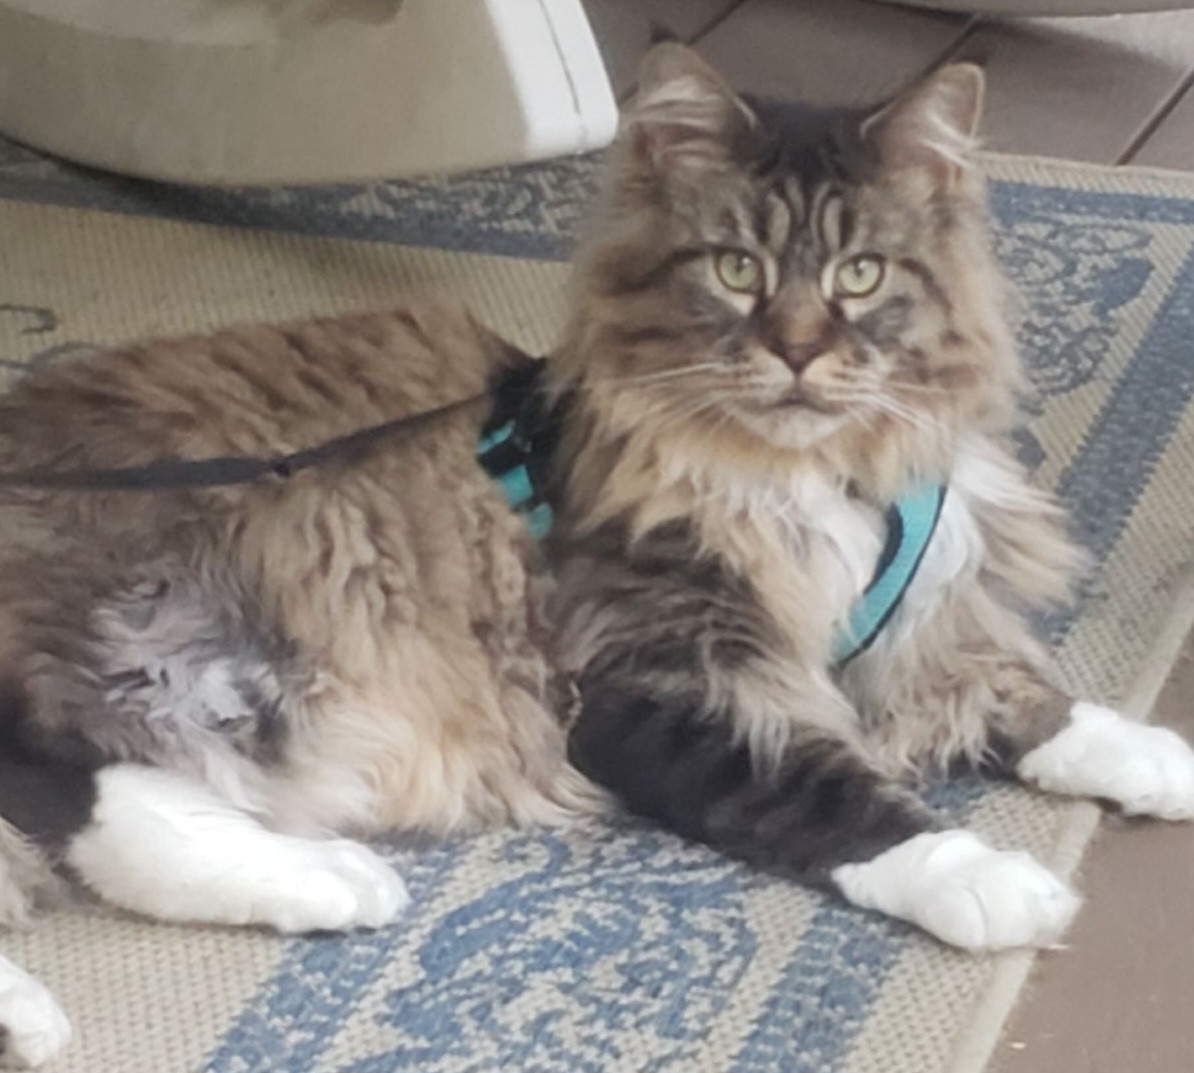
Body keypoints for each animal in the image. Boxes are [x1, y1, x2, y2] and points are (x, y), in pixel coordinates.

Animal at [0, 41, 1193, 1069]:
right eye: (738, 268)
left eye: (859, 275)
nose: (799, 351)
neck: (806, 479)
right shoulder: (654, 682)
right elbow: (835, 797)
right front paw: (991, 879)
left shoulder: (910, 626)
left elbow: (1026, 697)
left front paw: (1151, 755)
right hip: (182, 644)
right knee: (80, 796)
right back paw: (334, 884)